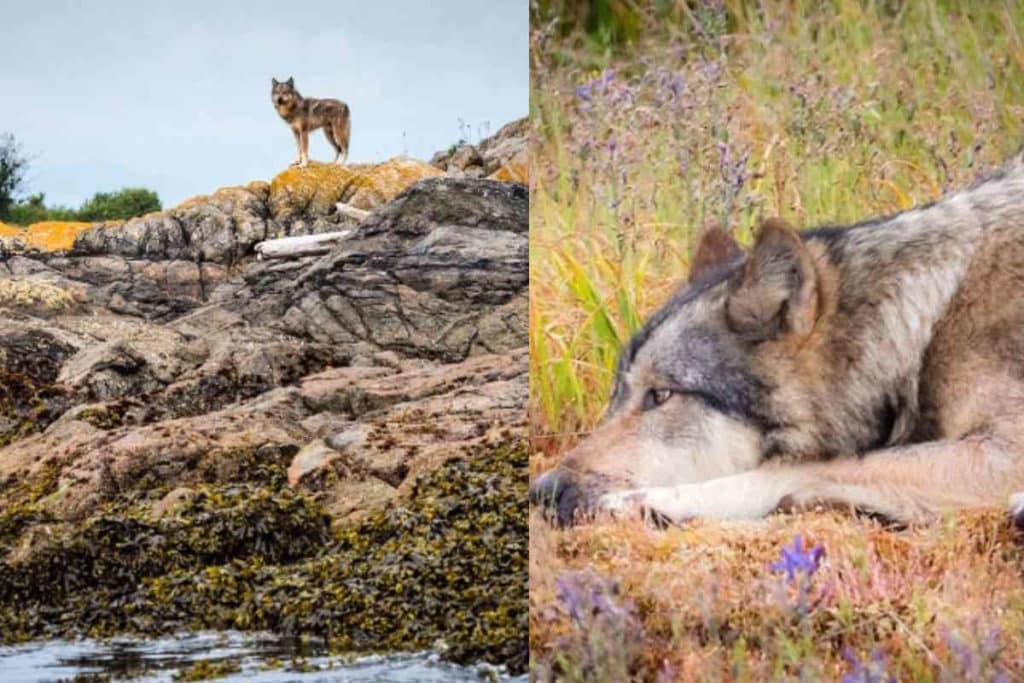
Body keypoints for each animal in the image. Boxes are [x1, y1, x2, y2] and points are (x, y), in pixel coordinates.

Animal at [531, 151, 1024, 528]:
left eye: (662, 395)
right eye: (618, 394)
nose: (544, 490)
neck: (923, 326)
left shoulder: (1005, 451)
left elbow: (798, 469)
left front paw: (634, 504)